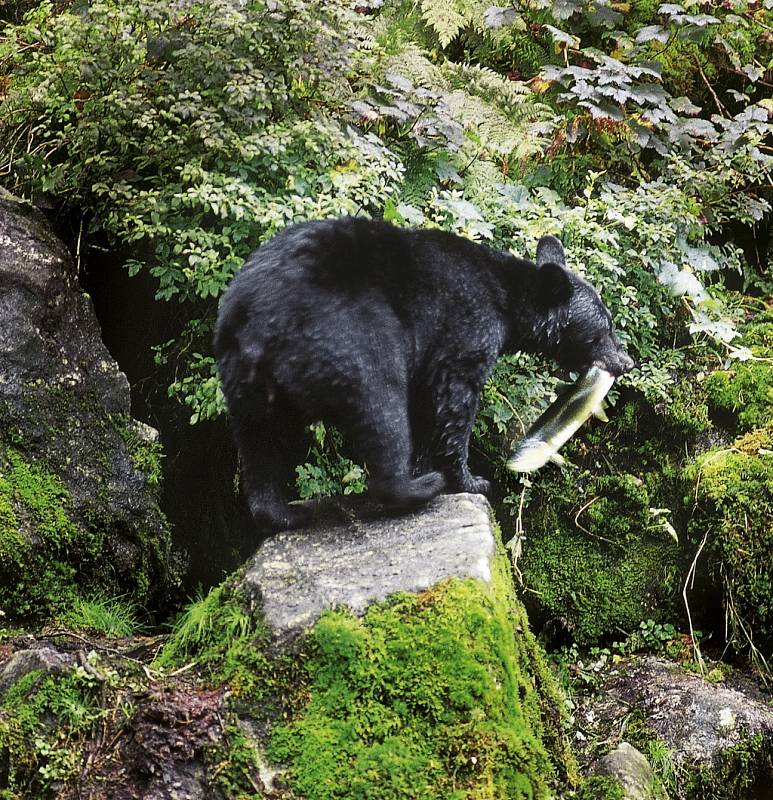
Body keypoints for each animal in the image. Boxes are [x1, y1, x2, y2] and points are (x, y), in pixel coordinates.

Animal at [214, 219, 632, 532]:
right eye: (605, 328)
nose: (626, 361)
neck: (506, 297)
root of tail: (261, 320)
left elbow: (424, 402)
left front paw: (428, 465)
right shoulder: (465, 325)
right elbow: (453, 401)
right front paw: (470, 480)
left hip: (244, 377)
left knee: (258, 440)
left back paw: (283, 513)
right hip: (350, 339)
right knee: (380, 408)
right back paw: (418, 488)